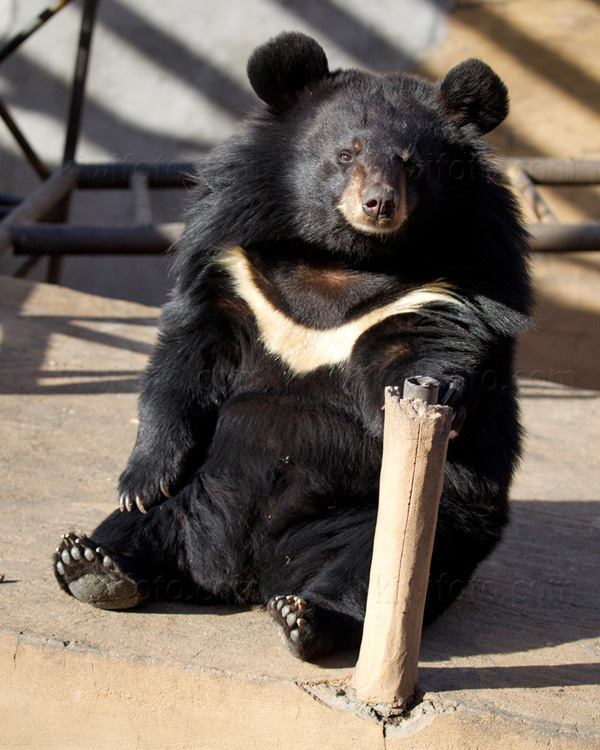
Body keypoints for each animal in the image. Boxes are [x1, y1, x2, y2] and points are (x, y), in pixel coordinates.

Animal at [52, 32, 528, 660]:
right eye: (346, 154)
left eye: (412, 164)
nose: (379, 203)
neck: (343, 260)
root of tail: (247, 574)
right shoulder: (236, 267)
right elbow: (185, 360)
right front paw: (140, 478)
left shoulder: (451, 286)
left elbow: (427, 356)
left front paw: (439, 391)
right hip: (201, 490)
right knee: (145, 526)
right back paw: (94, 564)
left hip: (394, 520)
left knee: (369, 574)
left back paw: (307, 617)